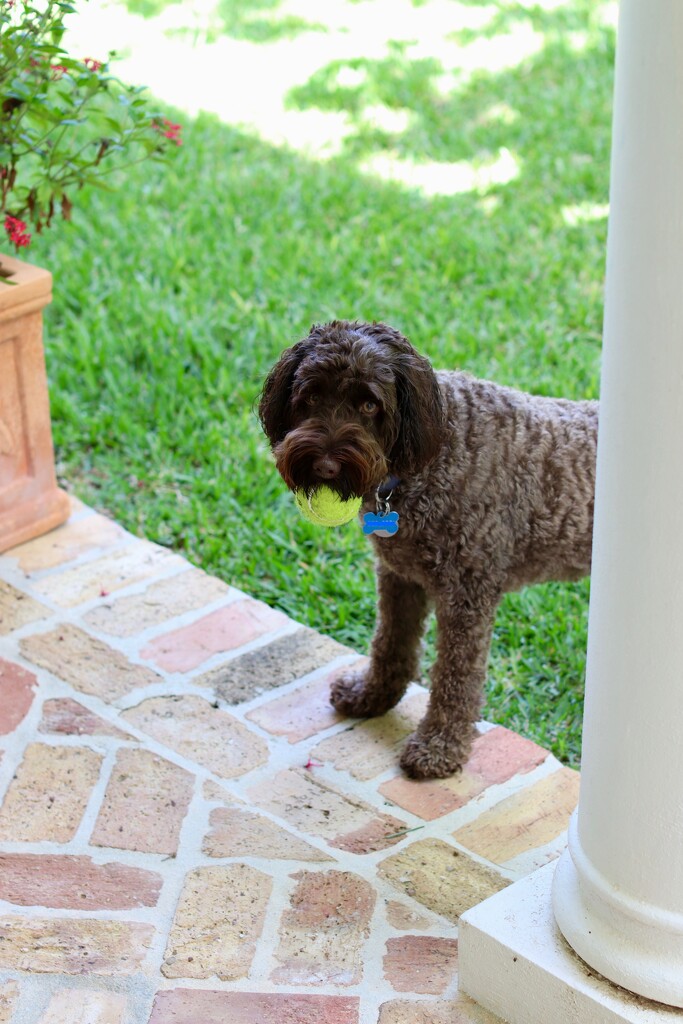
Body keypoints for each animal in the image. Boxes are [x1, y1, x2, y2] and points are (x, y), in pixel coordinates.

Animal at [259, 319, 593, 774]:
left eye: (369, 405)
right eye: (310, 396)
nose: (326, 465)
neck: (432, 454)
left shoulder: (468, 596)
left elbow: (456, 678)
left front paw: (440, 747)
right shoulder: (400, 577)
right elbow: (391, 644)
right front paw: (372, 696)